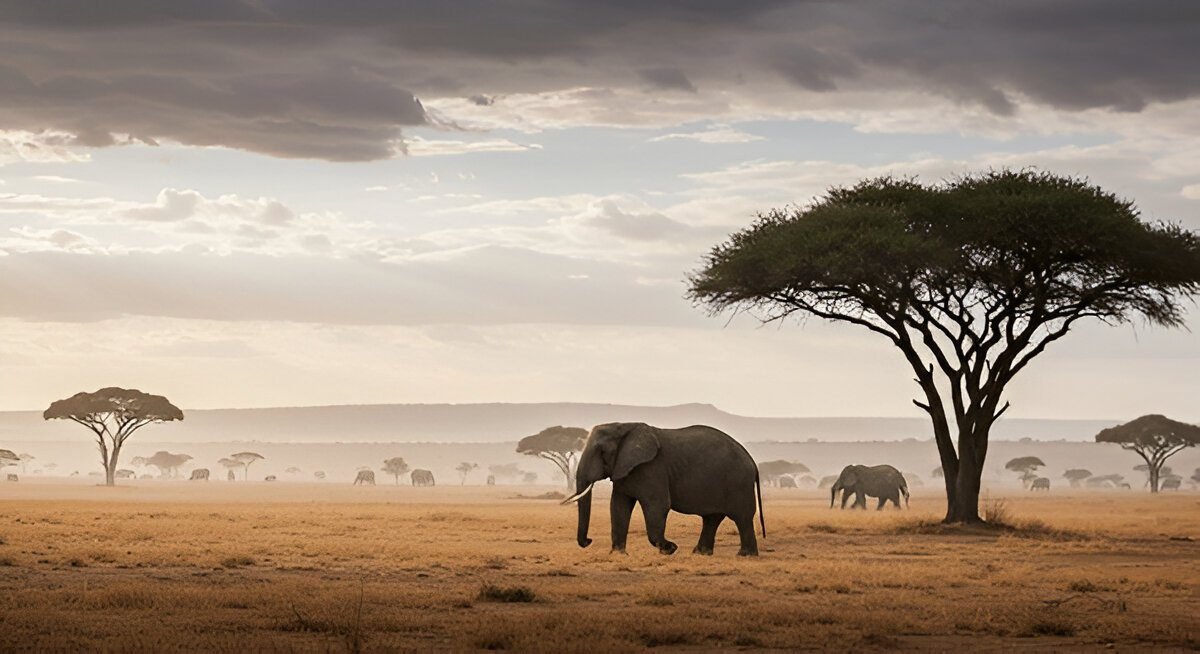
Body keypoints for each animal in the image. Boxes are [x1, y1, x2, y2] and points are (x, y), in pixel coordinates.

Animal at [564, 422, 763, 556]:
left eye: (602, 452)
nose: (588, 541)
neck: (625, 426)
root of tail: (752, 461)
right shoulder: (624, 469)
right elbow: (618, 507)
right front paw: (618, 554)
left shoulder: (651, 468)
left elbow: (657, 505)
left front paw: (670, 549)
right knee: (712, 518)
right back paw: (700, 553)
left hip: (738, 481)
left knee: (742, 517)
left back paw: (744, 555)